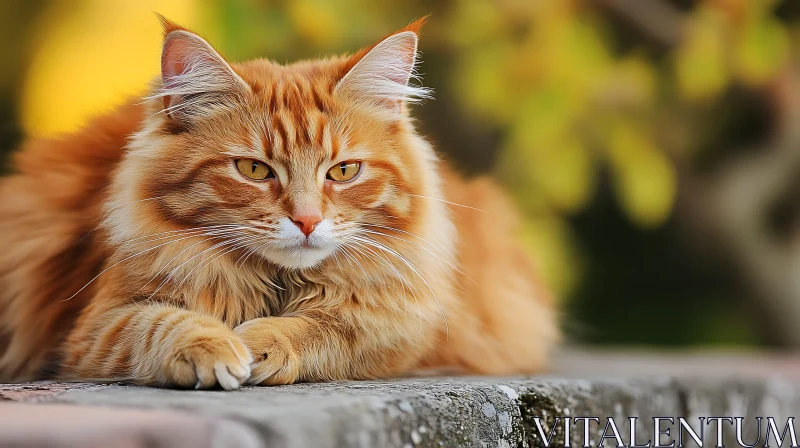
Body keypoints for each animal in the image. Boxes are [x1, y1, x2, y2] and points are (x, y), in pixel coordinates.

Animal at [0, 17, 552, 388]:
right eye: (254, 170)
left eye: (343, 172)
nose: (306, 221)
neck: (278, 283)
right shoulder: (95, 327)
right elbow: (161, 323)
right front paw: (215, 346)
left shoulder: (408, 328)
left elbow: (331, 330)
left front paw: (261, 343)